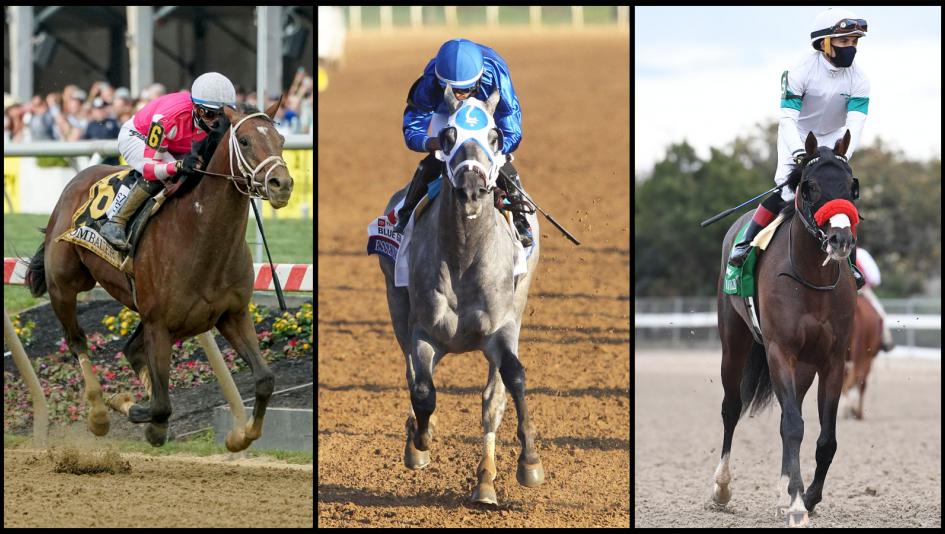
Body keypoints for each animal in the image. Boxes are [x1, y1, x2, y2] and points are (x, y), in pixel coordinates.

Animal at [25, 98, 293, 451]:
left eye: (281, 140)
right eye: (245, 141)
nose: (282, 184)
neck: (199, 235)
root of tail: (75, 182)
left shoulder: (232, 314)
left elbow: (264, 379)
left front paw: (239, 437)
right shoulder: (159, 323)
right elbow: (162, 405)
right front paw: (129, 407)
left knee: (131, 349)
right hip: (65, 285)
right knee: (77, 339)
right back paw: (99, 414)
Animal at [377, 87, 543, 505]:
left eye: (495, 137)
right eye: (448, 136)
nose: (471, 189)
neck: (464, 257)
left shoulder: (501, 329)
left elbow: (511, 381)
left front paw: (529, 463)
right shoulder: (424, 330)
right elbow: (422, 390)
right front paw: (419, 442)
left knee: (492, 399)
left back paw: (485, 482)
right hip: (396, 305)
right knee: (413, 373)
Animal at [713, 131, 860, 526]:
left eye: (851, 188)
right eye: (809, 188)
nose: (840, 240)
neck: (813, 281)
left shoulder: (833, 360)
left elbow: (826, 439)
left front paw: (805, 496)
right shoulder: (780, 351)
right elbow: (794, 426)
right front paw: (796, 503)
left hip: (805, 367)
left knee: (786, 413)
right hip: (734, 344)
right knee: (732, 407)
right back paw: (721, 488)